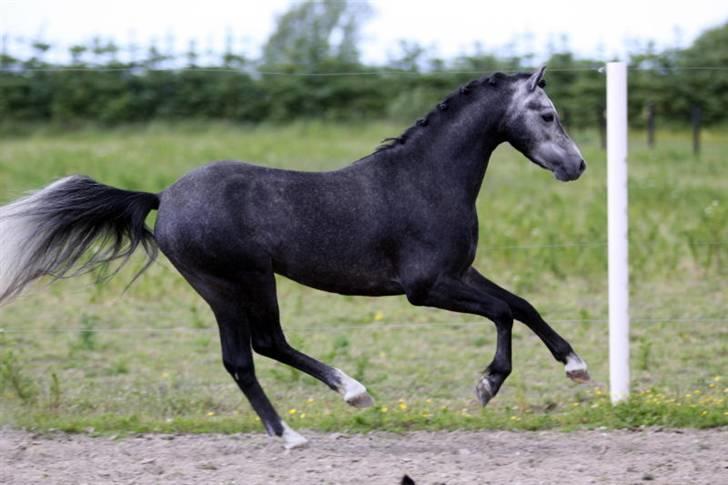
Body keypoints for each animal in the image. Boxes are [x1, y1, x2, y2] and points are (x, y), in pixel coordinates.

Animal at [0, 66, 590, 448]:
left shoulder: (459, 271)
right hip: (233, 283)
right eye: (547, 114)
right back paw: (299, 430)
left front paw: (575, 366)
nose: (578, 166)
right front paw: (486, 385)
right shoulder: (426, 288)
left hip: (242, 285)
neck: (426, 179)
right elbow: (503, 312)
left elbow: (523, 305)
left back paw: (345, 398)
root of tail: (162, 197)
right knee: (248, 355)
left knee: (267, 346)